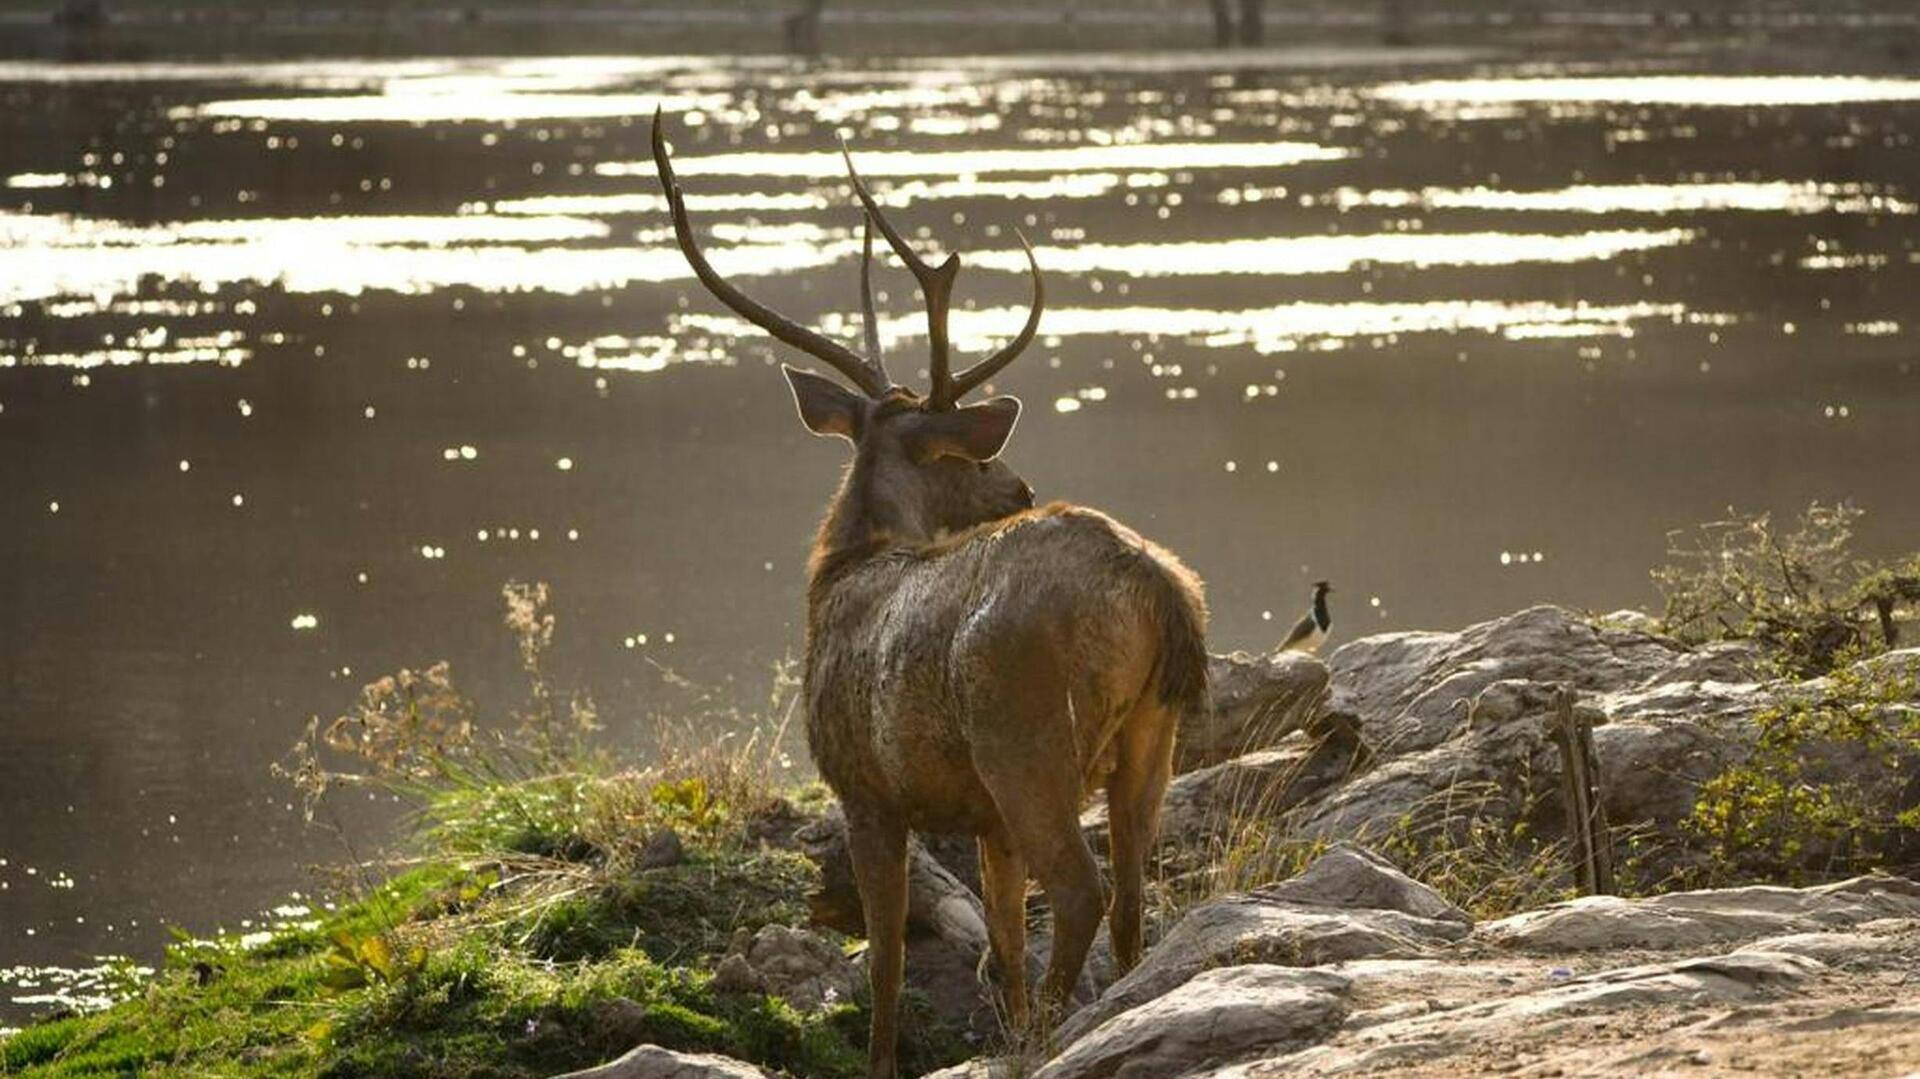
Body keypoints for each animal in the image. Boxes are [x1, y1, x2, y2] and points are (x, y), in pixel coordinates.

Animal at [652, 113, 1205, 1067]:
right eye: (965, 456)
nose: (1017, 486)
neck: (841, 573)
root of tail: (1155, 585)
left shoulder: (864, 786)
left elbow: (887, 957)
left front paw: (884, 1058)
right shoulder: (981, 815)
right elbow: (1003, 936)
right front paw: (1005, 1016)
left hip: (1026, 735)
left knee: (1084, 888)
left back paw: (1052, 1031)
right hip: (1150, 734)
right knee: (1133, 896)